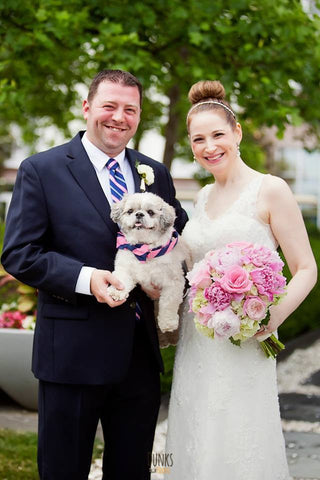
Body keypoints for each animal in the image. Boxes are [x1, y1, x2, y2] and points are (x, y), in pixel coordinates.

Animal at [107, 193, 190, 332]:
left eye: (150, 212)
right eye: (130, 211)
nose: (139, 214)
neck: (143, 248)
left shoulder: (173, 282)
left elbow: (168, 303)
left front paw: (167, 322)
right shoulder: (125, 268)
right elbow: (121, 281)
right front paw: (116, 292)